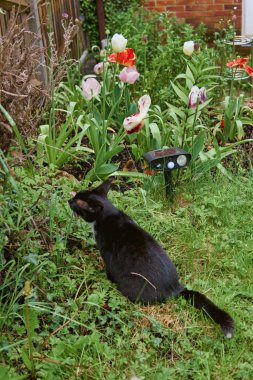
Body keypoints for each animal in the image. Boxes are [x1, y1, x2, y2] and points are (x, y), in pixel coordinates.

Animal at [68, 180, 233, 336]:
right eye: (76, 196)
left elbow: (108, 269)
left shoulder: (108, 255)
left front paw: (105, 277)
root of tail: (176, 288)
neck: (108, 214)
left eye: (77, 202)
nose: (69, 200)